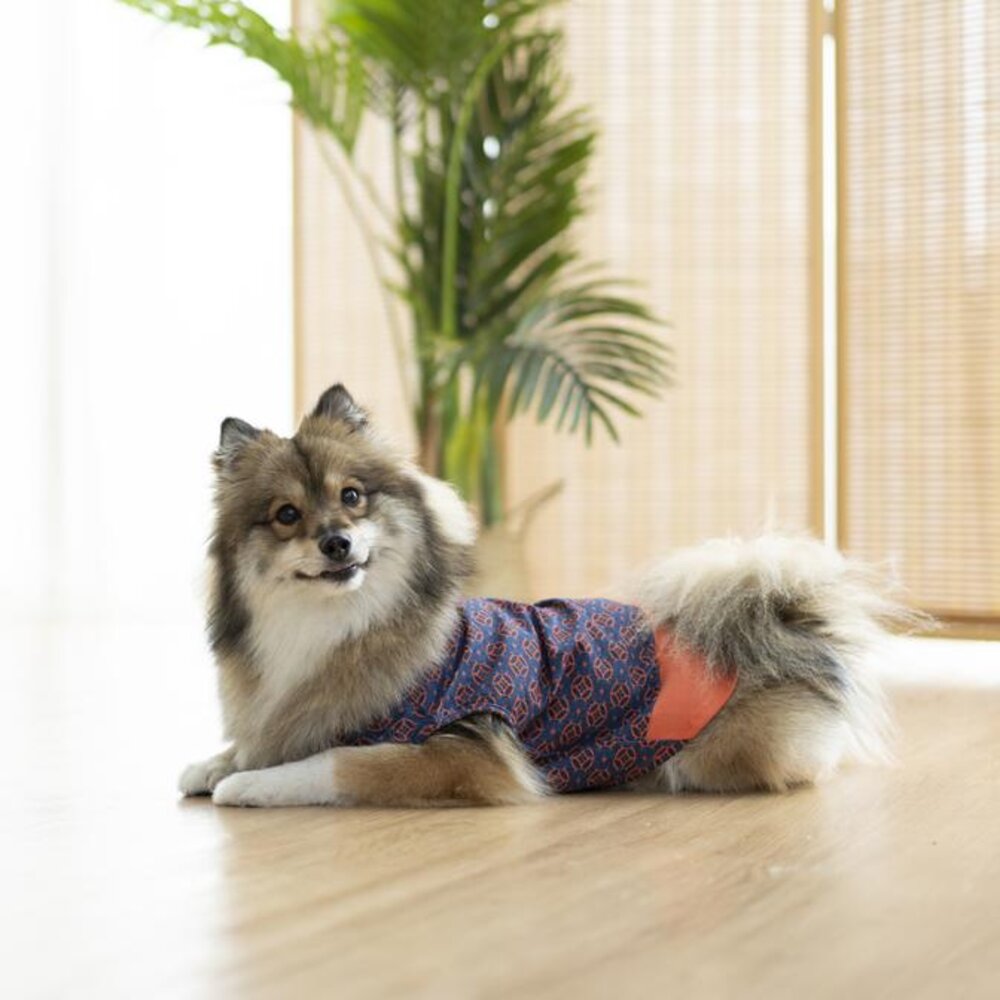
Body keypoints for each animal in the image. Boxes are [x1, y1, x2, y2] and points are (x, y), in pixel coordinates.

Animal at [180, 384, 908, 808]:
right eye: (286, 515)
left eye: (352, 496)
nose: (337, 543)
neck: (339, 624)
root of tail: (783, 623)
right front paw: (213, 763)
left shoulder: (461, 750)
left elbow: (337, 763)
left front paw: (246, 782)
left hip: (724, 751)